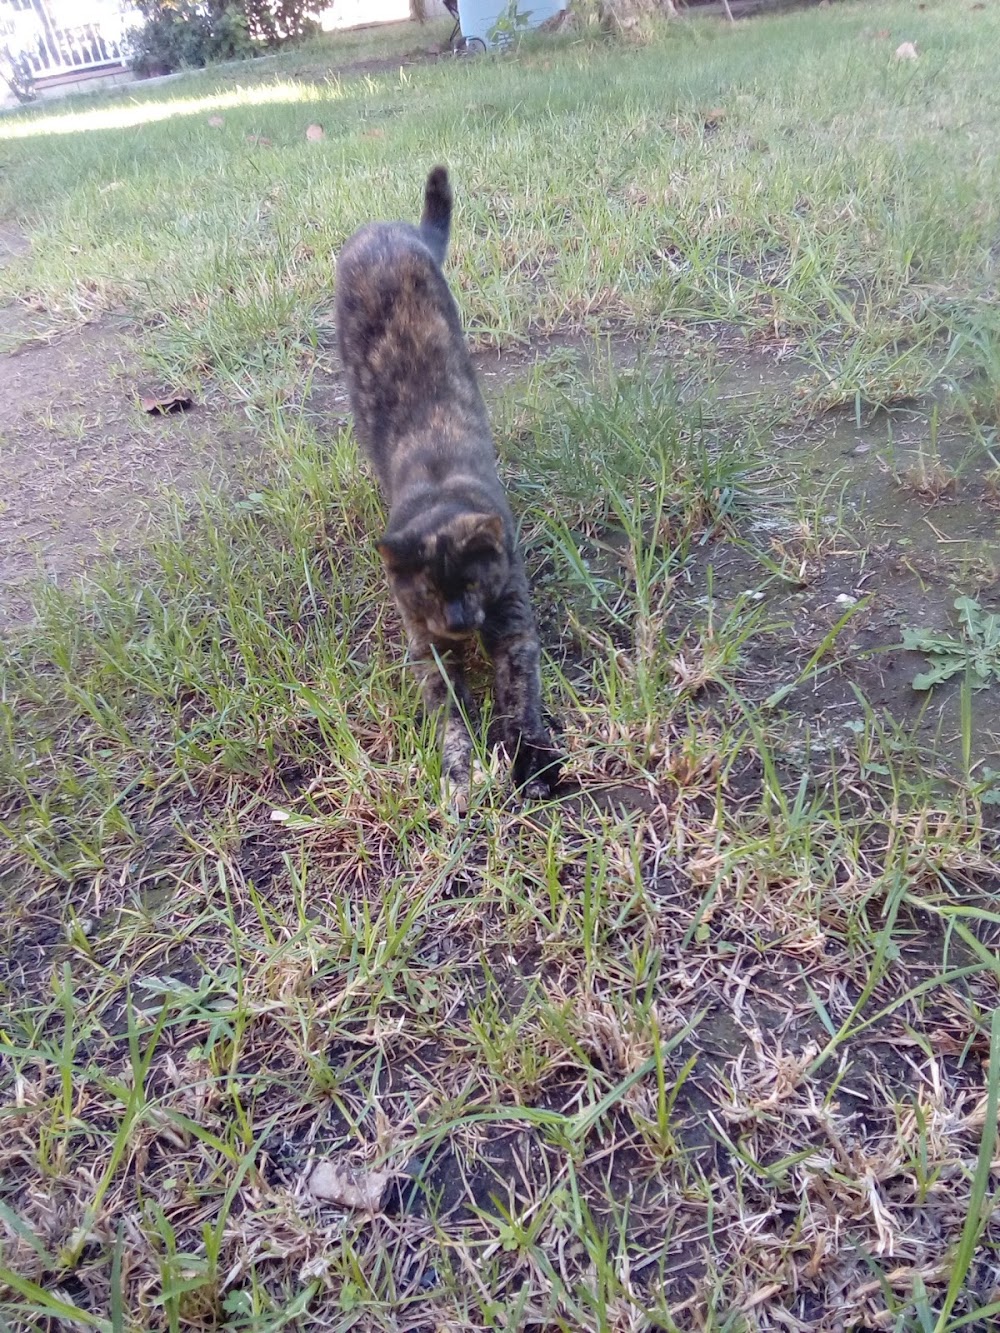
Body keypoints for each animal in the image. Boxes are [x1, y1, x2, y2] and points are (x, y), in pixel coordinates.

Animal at [333, 171, 560, 805]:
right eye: (431, 593)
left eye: (473, 581)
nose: (459, 622)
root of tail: (390, 230)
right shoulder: (427, 650)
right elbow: (452, 713)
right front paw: (461, 772)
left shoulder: (512, 622)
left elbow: (520, 698)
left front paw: (530, 763)